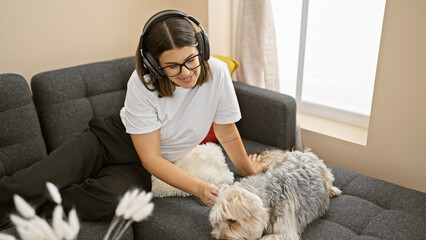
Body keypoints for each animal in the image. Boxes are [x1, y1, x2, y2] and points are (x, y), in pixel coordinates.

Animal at [210, 149, 342, 239]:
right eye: (217, 223)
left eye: (232, 221)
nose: (220, 238)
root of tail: (296, 152)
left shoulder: (285, 232)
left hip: (324, 170)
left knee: (329, 180)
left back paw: (333, 190)